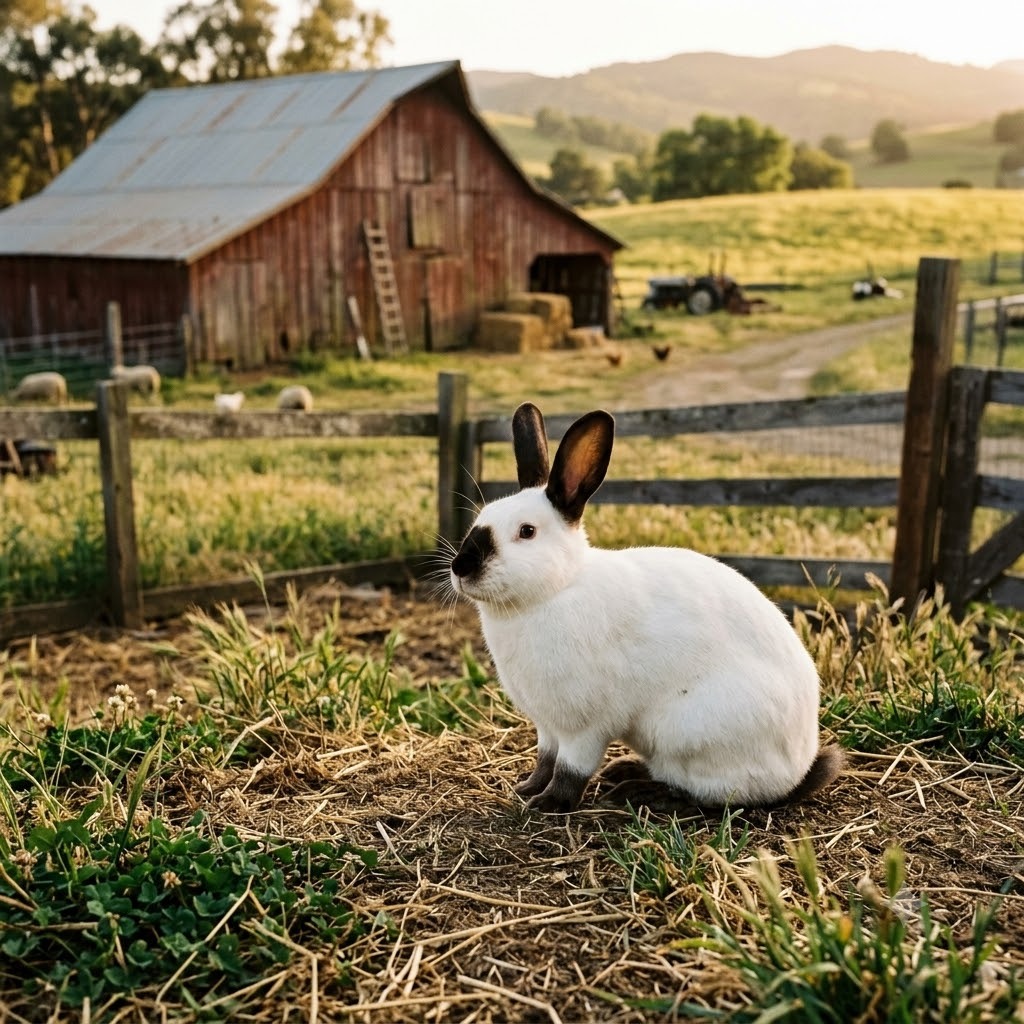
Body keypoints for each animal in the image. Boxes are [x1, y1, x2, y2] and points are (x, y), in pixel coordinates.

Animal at [450, 402, 843, 814]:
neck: (556, 590)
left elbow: (570, 770)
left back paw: (642, 792)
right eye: (480, 519)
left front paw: (548, 803)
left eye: (527, 531)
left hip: (688, 736)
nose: (461, 567)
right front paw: (526, 788)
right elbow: (545, 760)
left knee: (715, 795)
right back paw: (624, 771)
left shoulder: (583, 728)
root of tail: (796, 773)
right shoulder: (547, 727)